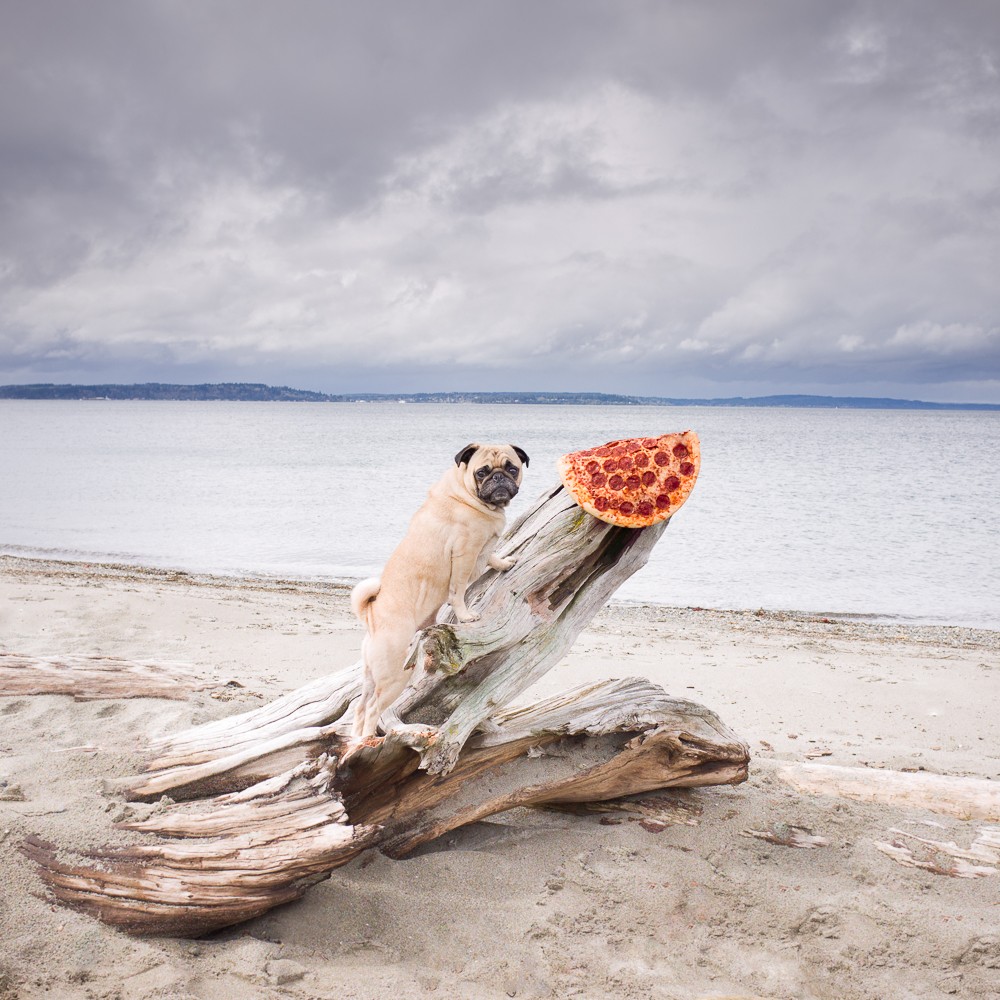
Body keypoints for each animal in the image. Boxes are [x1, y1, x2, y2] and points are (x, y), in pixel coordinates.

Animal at [350, 442, 528, 740]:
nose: (499, 478)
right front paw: (466, 616)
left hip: (370, 676)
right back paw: (368, 739)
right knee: (373, 708)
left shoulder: (483, 549)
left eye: (511, 468)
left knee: (361, 706)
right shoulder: (465, 554)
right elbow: (458, 591)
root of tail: (371, 615)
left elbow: (492, 556)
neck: (466, 496)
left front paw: (504, 563)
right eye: (482, 472)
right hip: (395, 675)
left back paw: (354, 738)